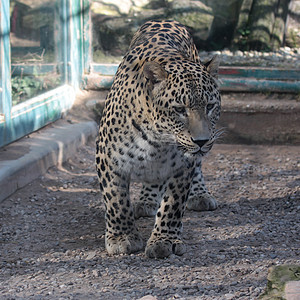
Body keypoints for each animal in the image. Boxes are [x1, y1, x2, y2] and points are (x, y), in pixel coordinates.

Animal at [96, 19, 223, 258]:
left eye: (210, 106)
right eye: (180, 109)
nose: (201, 141)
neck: (158, 139)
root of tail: (167, 20)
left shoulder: (183, 165)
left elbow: (173, 205)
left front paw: (165, 240)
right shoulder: (108, 158)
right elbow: (116, 200)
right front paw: (122, 237)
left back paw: (200, 195)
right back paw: (146, 200)